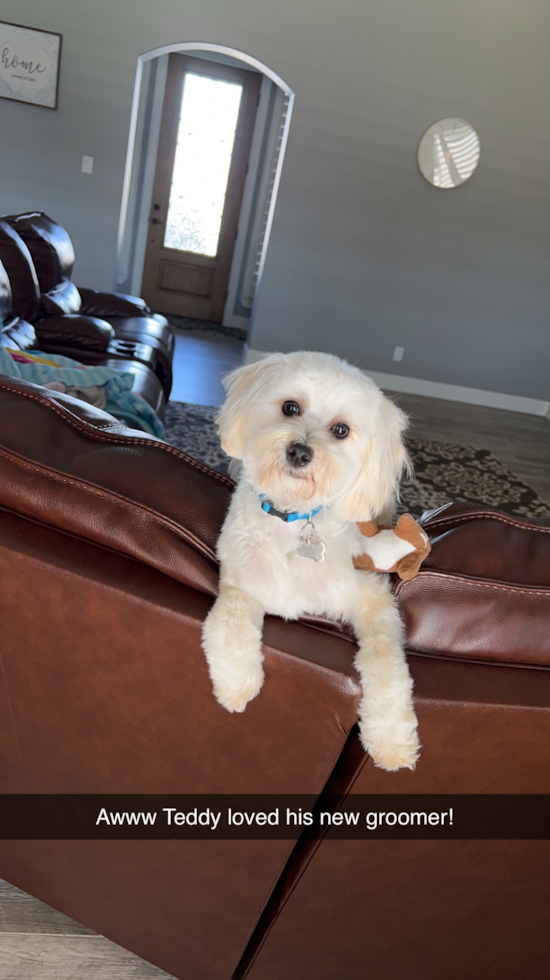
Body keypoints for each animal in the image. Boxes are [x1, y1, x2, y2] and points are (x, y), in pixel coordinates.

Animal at [203, 348, 422, 768]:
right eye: (290, 407)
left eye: (341, 430)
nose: (300, 451)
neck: (292, 518)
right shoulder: (241, 580)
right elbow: (232, 618)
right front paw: (236, 683)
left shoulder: (372, 598)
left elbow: (386, 661)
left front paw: (391, 739)